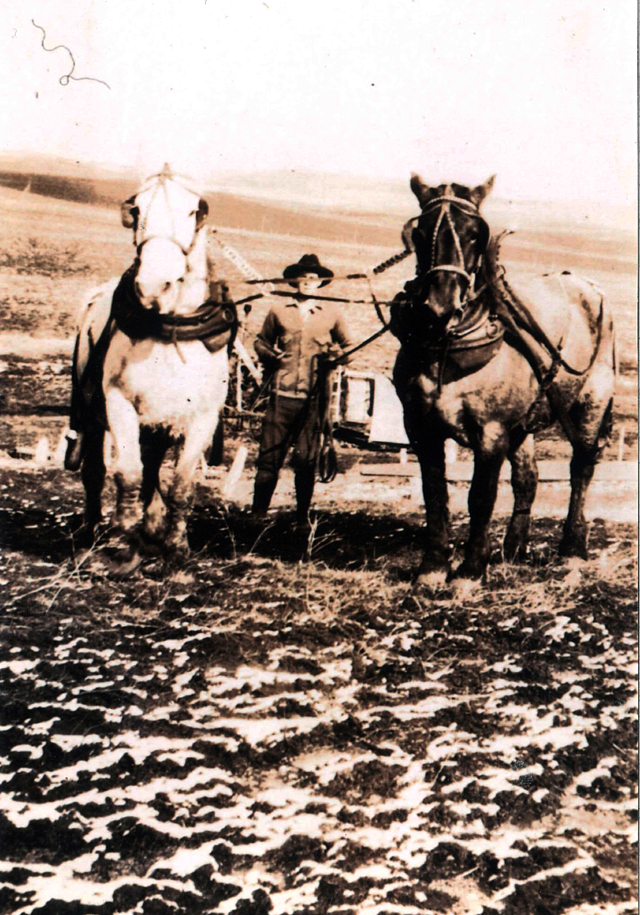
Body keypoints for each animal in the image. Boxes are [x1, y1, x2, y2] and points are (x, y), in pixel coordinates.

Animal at [70, 165, 236, 566]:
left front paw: (175, 546)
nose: (154, 285)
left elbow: (181, 484)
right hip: (93, 414)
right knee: (95, 472)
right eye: (136, 210)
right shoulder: (119, 404)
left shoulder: (203, 417)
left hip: (158, 427)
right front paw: (122, 545)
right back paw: (92, 530)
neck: (170, 327)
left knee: (153, 469)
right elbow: (127, 475)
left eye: (193, 211)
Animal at [391, 174, 616, 583]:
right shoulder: (419, 426)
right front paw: (432, 567)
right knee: (528, 476)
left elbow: (481, 495)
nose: (440, 308)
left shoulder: (491, 430)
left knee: (582, 467)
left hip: (590, 402)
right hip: (523, 421)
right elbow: (434, 491)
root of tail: (588, 286)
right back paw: (513, 550)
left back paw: (572, 550)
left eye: (475, 233)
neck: (449, 347)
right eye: (420, 231)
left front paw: (469, 571)